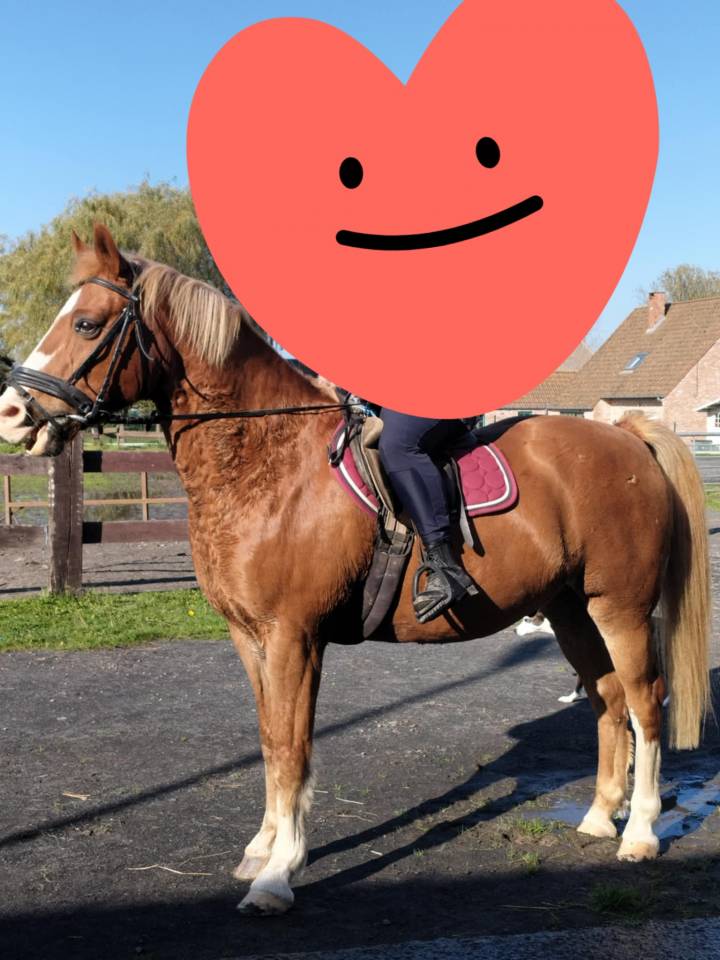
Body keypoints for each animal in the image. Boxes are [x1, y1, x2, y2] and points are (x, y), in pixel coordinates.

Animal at [0, 224, 710, 915]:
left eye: (87, 323)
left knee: (645, 700)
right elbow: (269, 740)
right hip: (570, 610)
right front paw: (263, 848)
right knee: (608, 698)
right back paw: (598, 815)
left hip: (620, 608)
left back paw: (640, 832)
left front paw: (280, 873)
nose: (12, 411)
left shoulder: (294, 636)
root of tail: (627, 436)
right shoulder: (249, 637)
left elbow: (293, 748)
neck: (270, 463)